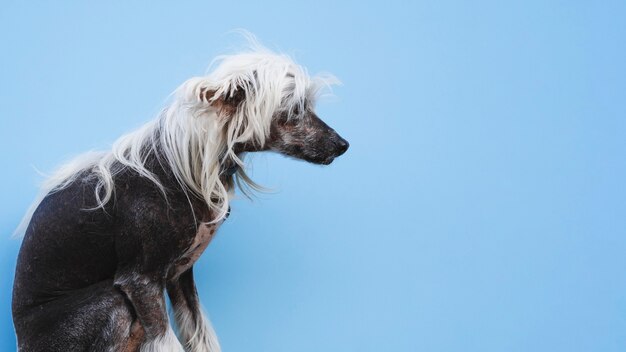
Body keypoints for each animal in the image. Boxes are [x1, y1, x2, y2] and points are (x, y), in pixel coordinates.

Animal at [12, 39, 348, 352]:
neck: (183, 165)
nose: (343, 144)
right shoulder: (141, 281)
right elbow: (166, 342)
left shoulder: (180, 277)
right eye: (295, 109)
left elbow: (200, 336)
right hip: (111, 300)